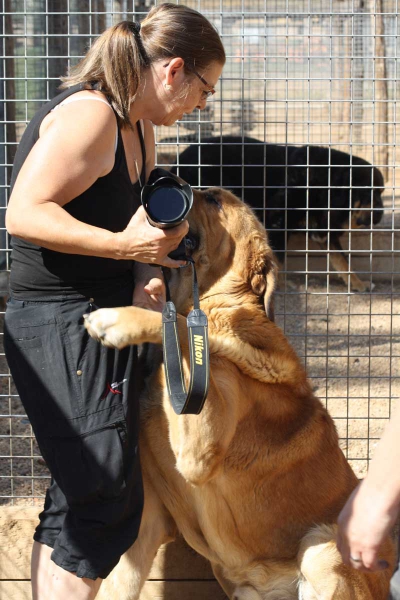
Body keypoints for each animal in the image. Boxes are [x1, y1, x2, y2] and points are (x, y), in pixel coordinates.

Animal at [86, 189, 396, 600]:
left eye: (214, 201)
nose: (164, 183)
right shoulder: (147, 523)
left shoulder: (199, 454)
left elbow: (183, 327)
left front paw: (120, 320)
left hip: (322, 548)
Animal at [170, 138, 384, 292]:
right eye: (371, 194)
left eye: (380, 192)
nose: (381, 214)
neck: (325, 184)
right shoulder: (278, 222)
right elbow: (279, 260)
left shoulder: (322, 231)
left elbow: (342, 260)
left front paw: (357, 283)